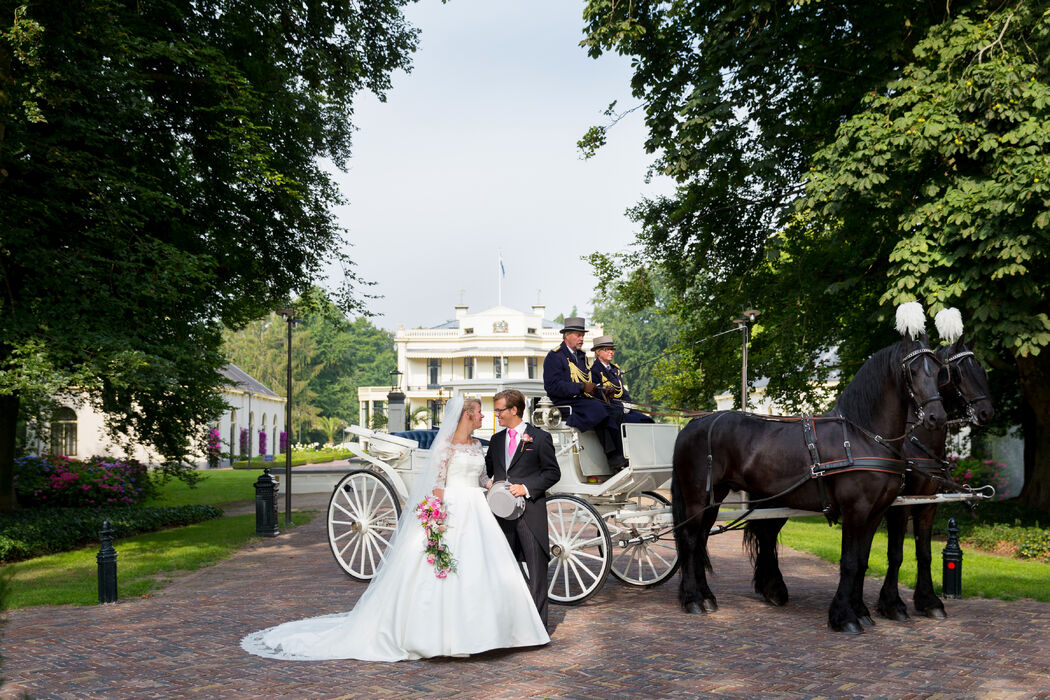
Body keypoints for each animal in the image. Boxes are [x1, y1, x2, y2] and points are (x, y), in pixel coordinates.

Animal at [672, 329, 953, 633]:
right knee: (690, 540)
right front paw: (844, 617)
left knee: (702, 540)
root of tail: (692, 425)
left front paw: (860, 611)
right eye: (912, 370)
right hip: (697, 497)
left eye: (939, 370)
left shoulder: (877, 512)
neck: (863, 435)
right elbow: (850, 562)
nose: (937, 417)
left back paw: (707, 597)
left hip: (715, 498)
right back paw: (693, 600)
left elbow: (863, 560)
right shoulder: (856, 510)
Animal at [873, 335, 995, 621]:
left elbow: (924, 552)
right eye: (957, 372)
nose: (986, 411)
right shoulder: (900, 505)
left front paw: (928, 600)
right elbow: (896, 553)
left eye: (982, 370)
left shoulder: (928, 503)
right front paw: (891, 604)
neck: (917, 445)